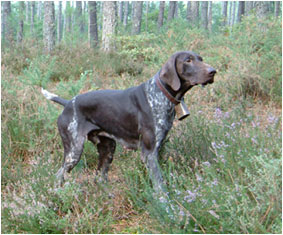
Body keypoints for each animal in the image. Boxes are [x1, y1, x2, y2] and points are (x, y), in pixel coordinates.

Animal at [41, 51, 216, 191]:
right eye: (188, 60)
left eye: (201, 59)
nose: (213, 71)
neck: (161, 93)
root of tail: (68, 103)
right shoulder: (149, 152)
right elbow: (159, 185)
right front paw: (165, 206)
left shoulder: (157, 150)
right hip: (74, 151)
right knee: (59, 175)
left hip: (108, 149)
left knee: (99, 176)